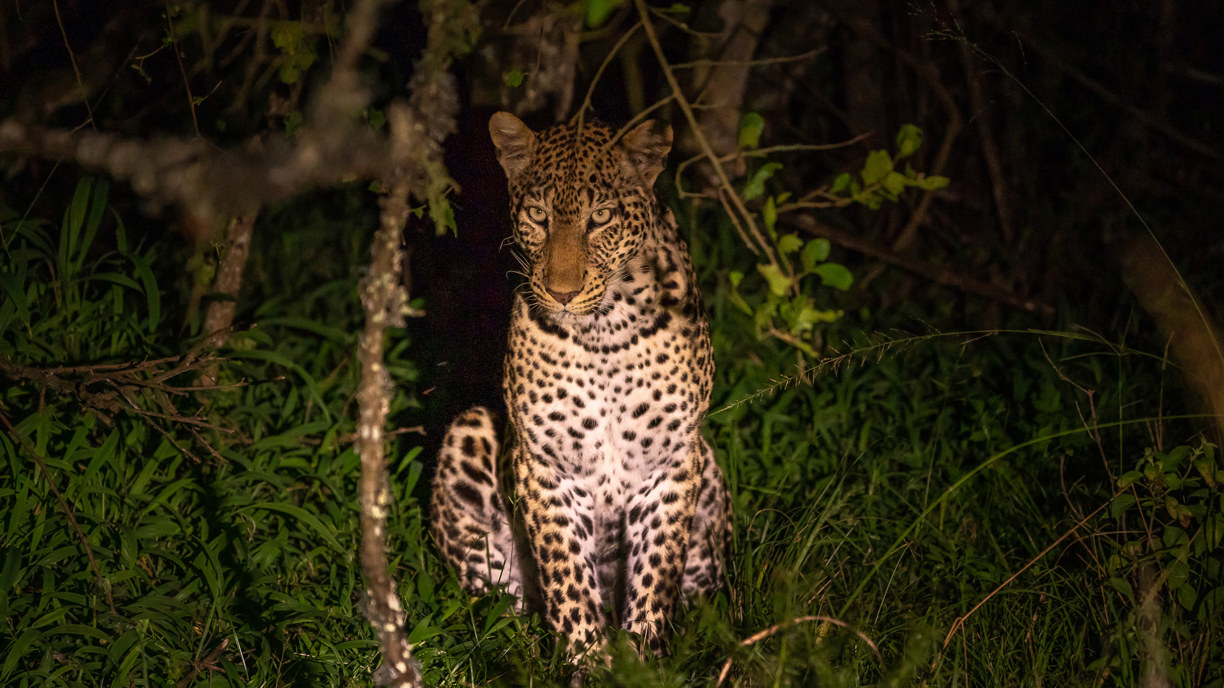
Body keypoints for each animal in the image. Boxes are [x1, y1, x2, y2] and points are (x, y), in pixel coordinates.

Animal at [430, 111, 731, 666]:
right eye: (537, 215)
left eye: (602, 217)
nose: (561, 293)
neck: (604, 331)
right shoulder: (546, 465)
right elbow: (567, 575)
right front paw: (589, 662)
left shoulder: (671, 460)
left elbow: (656, 572)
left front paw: (643, 660)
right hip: (470, 434)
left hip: (709, 464)